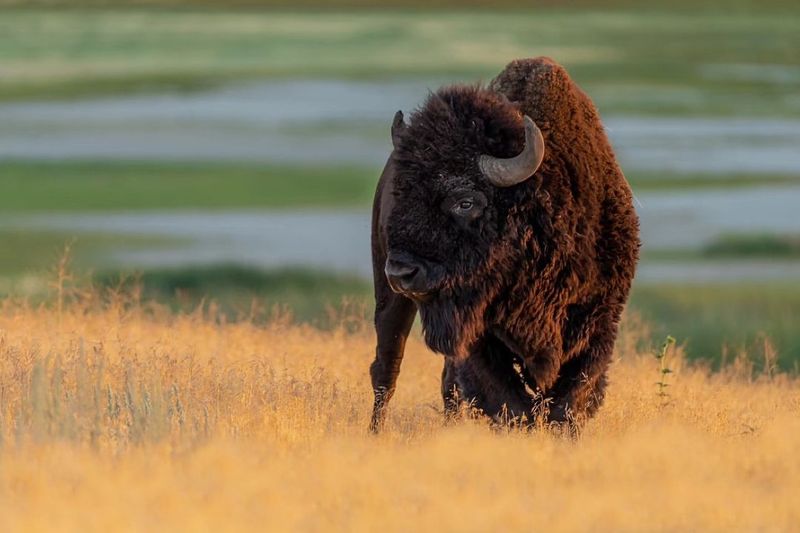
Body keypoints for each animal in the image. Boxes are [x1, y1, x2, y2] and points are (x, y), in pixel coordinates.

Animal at [368, 58, 636, 432]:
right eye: (402, 192)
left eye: (465, 201)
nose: (401, 271)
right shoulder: (481, 339)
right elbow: (511, 402)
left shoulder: (598, 324)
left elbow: (569, 402)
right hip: (389, 298)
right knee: (386, 369)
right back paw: (375, 431)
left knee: (445, 383)